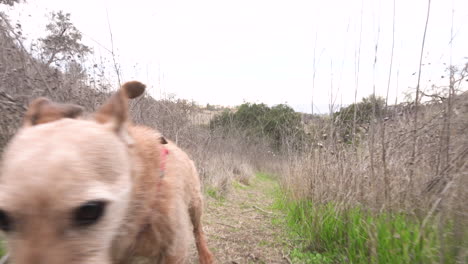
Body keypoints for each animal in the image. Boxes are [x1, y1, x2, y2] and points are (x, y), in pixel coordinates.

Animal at [0, 81, 215, 262]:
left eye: (90, 210)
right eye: (3, 218)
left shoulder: (173, 251)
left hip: (195, 203)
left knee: (198, 230)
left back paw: (205, 254)